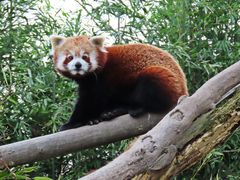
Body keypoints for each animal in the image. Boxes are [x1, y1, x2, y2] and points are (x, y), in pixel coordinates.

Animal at [50, 35, 188, 131]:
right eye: (70, 57)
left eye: (85, 57)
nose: (78, 65)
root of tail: (184, 89)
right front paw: (92, 119)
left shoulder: (101, 81)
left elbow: (89, 101)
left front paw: (72, 123)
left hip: (163, 79)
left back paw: (134, 108)